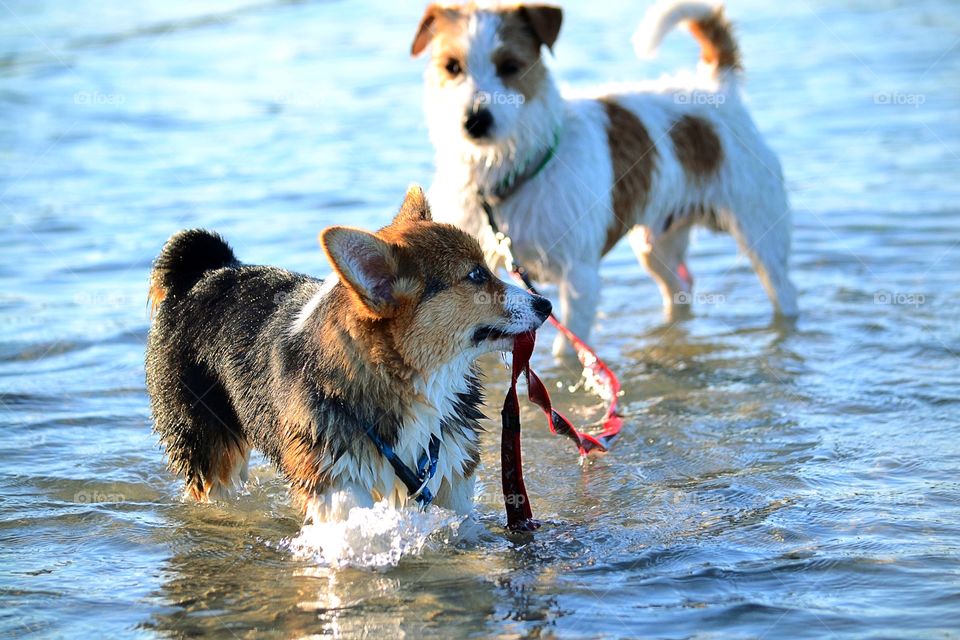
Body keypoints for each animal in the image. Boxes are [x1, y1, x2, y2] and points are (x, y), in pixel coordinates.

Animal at [142, 185, 548, 520]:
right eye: (476, 276)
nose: (545, 305)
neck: (410, 378)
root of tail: (202, 274)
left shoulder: (450, 471)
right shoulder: (336, 483)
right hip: (208, 450)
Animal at [410, 0, 796, 356]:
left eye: (510, 66)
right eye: (452, 67)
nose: (475, 120)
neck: (506, 175)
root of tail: (716, 86)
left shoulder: (579, 277)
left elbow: (569, 351)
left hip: (760, 233)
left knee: (782, 289)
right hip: (656, 247)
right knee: (679, 291)